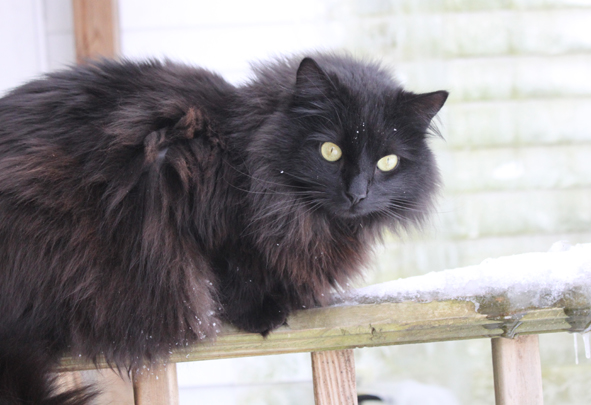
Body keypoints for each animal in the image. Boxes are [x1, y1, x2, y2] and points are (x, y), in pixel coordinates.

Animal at [0, 54, 444, 404]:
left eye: (387, 162)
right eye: (330, 151)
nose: (357, 193)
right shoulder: (179, 171)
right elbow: (230, 263)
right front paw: (261, 312)